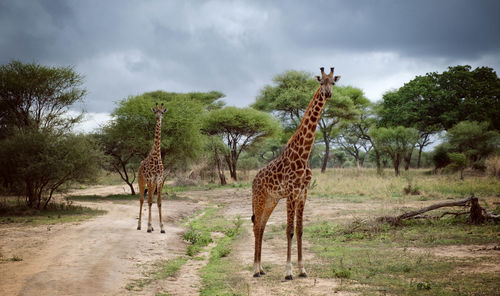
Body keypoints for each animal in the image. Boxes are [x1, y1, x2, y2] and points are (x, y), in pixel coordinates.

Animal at [252, 66, 342, 280]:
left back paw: (261, 268)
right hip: (259, 198)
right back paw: (255, 269)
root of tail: (253, 180)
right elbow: (289, 231)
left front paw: (302, 269)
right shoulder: (292, 193)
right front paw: (288, 272)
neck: (304, 153)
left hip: (271, 200)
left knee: (261, 226)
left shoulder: (303, 193)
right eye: (321, 82)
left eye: (333, 82)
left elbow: (300, 230)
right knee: (256, 226)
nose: (328, 94)